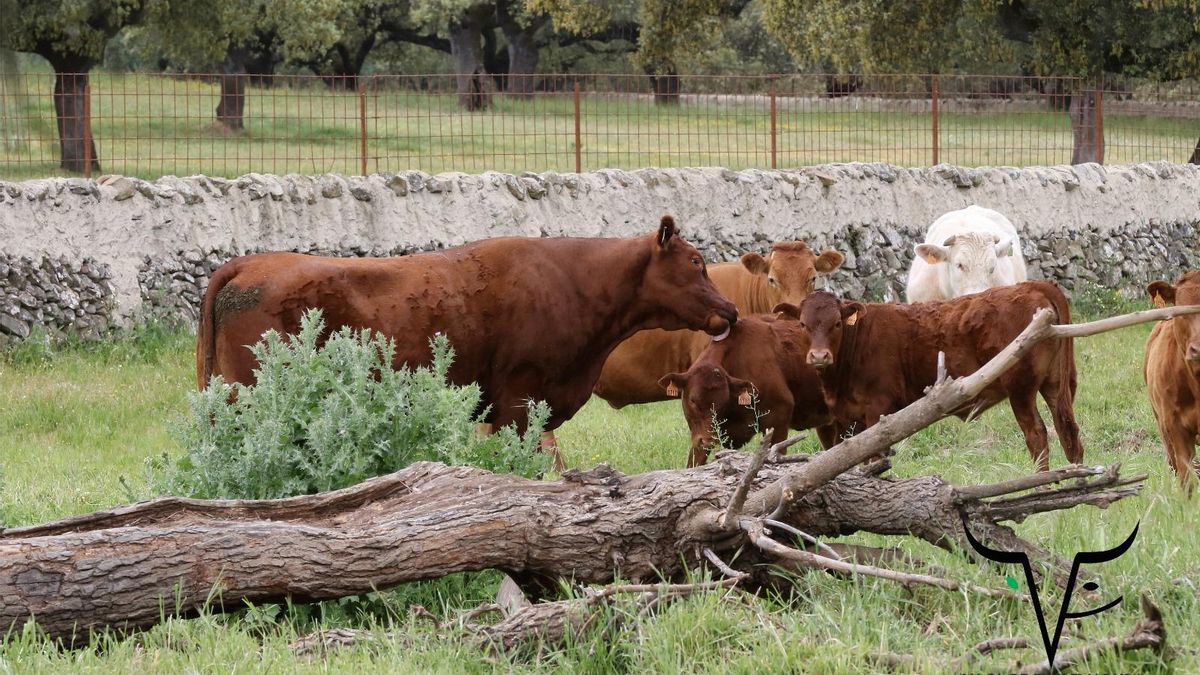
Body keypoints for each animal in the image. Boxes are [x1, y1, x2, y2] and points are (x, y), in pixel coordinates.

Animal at [792, 281, 1084, 470]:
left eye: (836, 324)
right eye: (803, 324)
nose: (819, 356)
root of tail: (1034, 285)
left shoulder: (878, 409)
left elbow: (874, 458)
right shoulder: (845, 420)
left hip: (1021, 389)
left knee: (1037, 435)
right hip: (1055, 384)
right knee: (1068, 431)